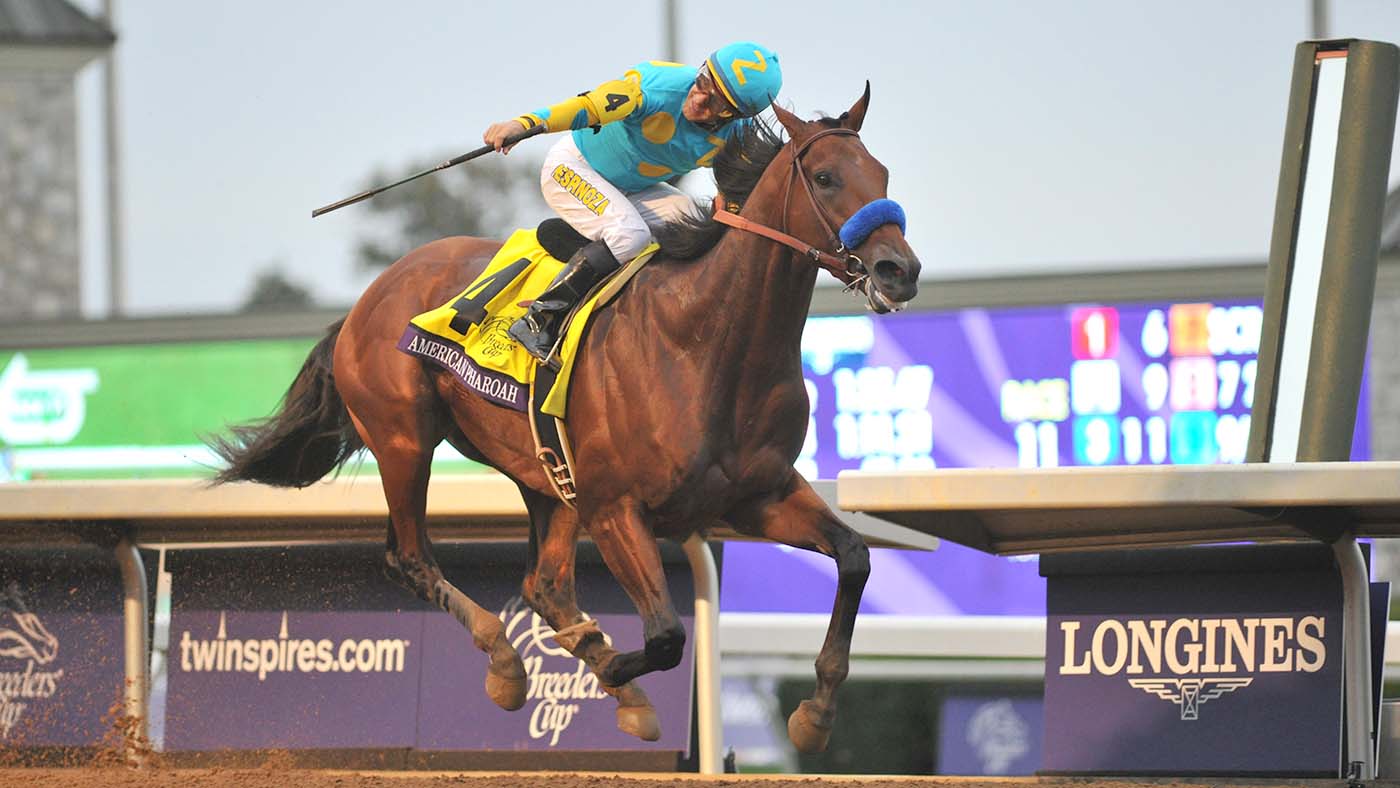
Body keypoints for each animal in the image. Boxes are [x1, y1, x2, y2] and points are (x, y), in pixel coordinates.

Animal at [207, 87, 918, 750]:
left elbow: (855, 556)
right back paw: (507, 663)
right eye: (824, 177)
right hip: (404, 440)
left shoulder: (756, 496)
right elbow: (665, 637)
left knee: (544, 584)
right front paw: (610, 672)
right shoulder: (616, 507)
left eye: (882, 173)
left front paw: (815, 715)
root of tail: (367, 299)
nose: (899, 270)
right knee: (410, 557)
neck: (706, 343)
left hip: (542, 471)